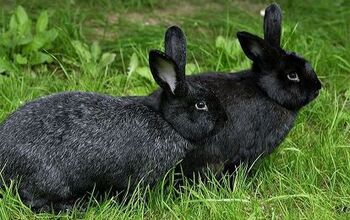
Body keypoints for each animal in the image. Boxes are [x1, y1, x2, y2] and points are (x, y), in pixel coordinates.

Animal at [0, 49, 227, 211]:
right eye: (201, 105)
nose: (225, 119)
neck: (166, 121)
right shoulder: (138, 177)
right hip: (48, 179)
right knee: (34, 201)